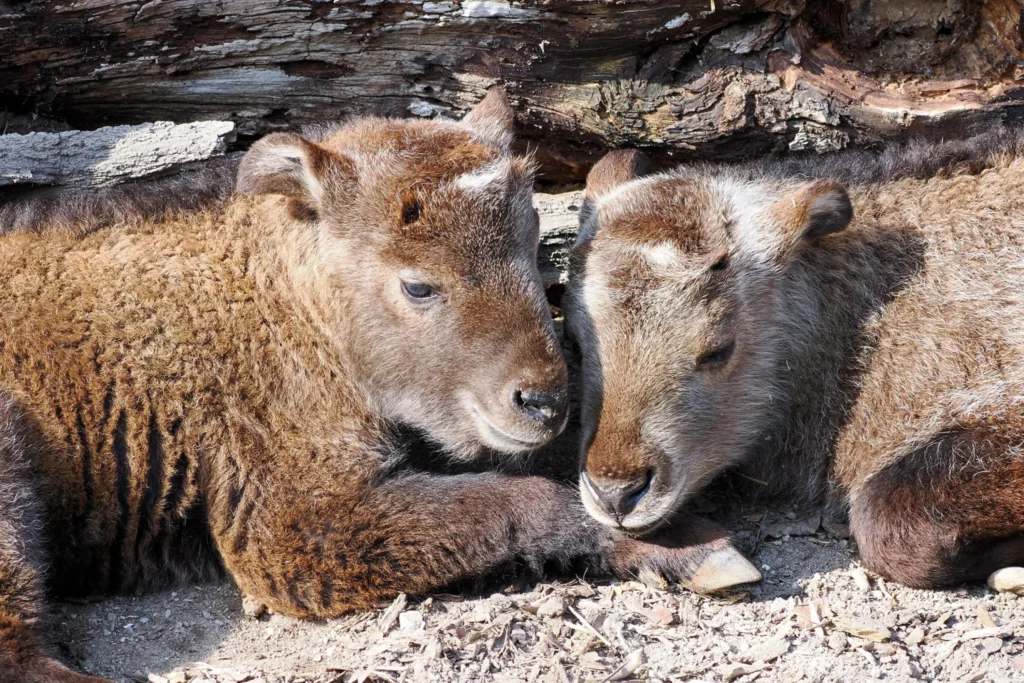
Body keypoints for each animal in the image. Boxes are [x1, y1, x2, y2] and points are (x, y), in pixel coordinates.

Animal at [0, 92, 753, 683]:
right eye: (418, 285)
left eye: (533, 249)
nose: (542, 401)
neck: (280, 292)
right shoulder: (289, 524)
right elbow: (522, 498)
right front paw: (701, 551)